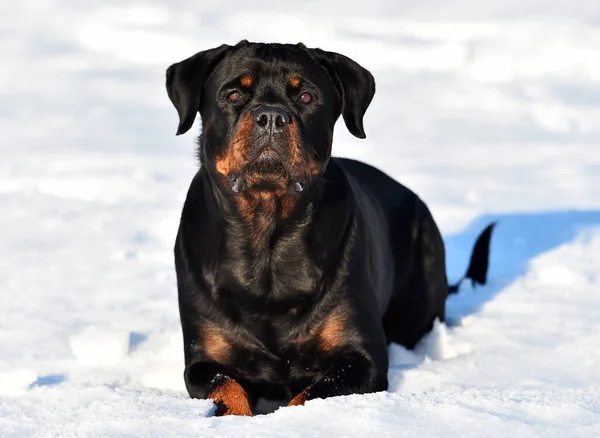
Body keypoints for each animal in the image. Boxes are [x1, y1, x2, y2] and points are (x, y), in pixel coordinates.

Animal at [164, 39, 492, 416]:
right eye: (233, 95)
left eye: (306, 96)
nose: (271, 116)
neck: (268, 238)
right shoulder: (203, 359)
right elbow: (227, 387)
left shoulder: (362, 358)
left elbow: (311, 395)